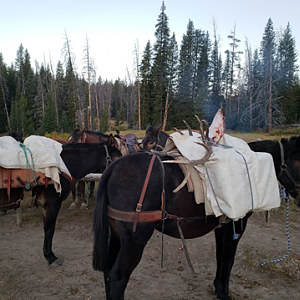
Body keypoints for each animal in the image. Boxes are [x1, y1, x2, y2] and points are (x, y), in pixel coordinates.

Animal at [1, 135, 120, 264]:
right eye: (117, 157)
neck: (64, 164)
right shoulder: (52, 204)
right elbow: (49, 230)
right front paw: (51, 257)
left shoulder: (46, 206)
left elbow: (46, 229)